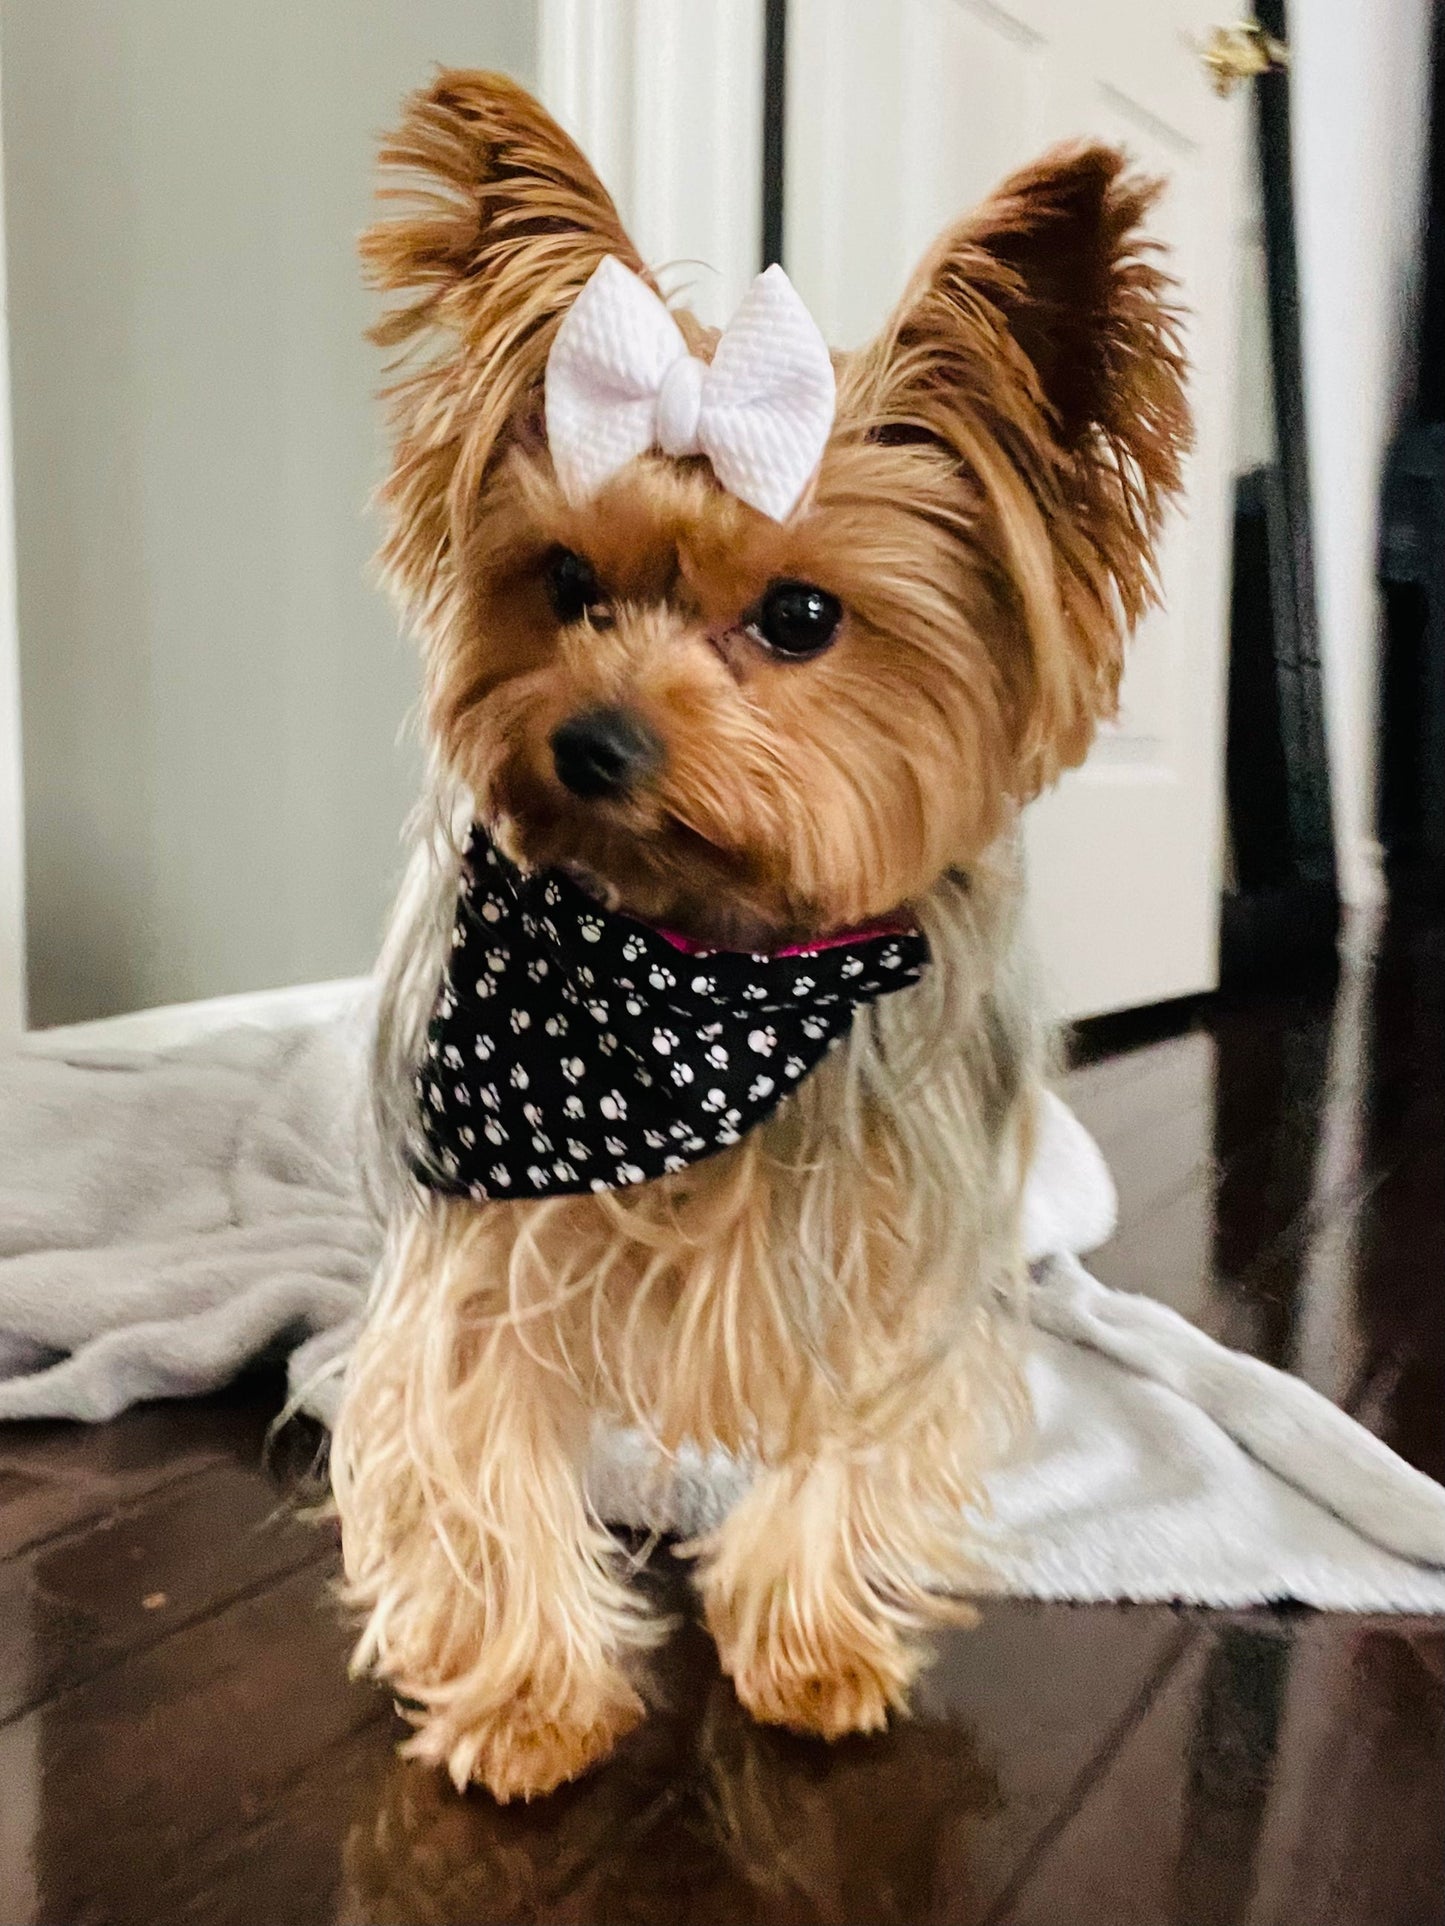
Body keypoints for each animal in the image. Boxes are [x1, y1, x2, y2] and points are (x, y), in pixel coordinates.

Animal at [333, 64, 1194, 1802]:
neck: (700, 968)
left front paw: (811, 1648)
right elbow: (474, 1432)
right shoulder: (477, 1243)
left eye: (801, 616)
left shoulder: (885, 1241)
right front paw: (527, 1697)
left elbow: (851, 1429)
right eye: (565, 581)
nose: (587, 744)